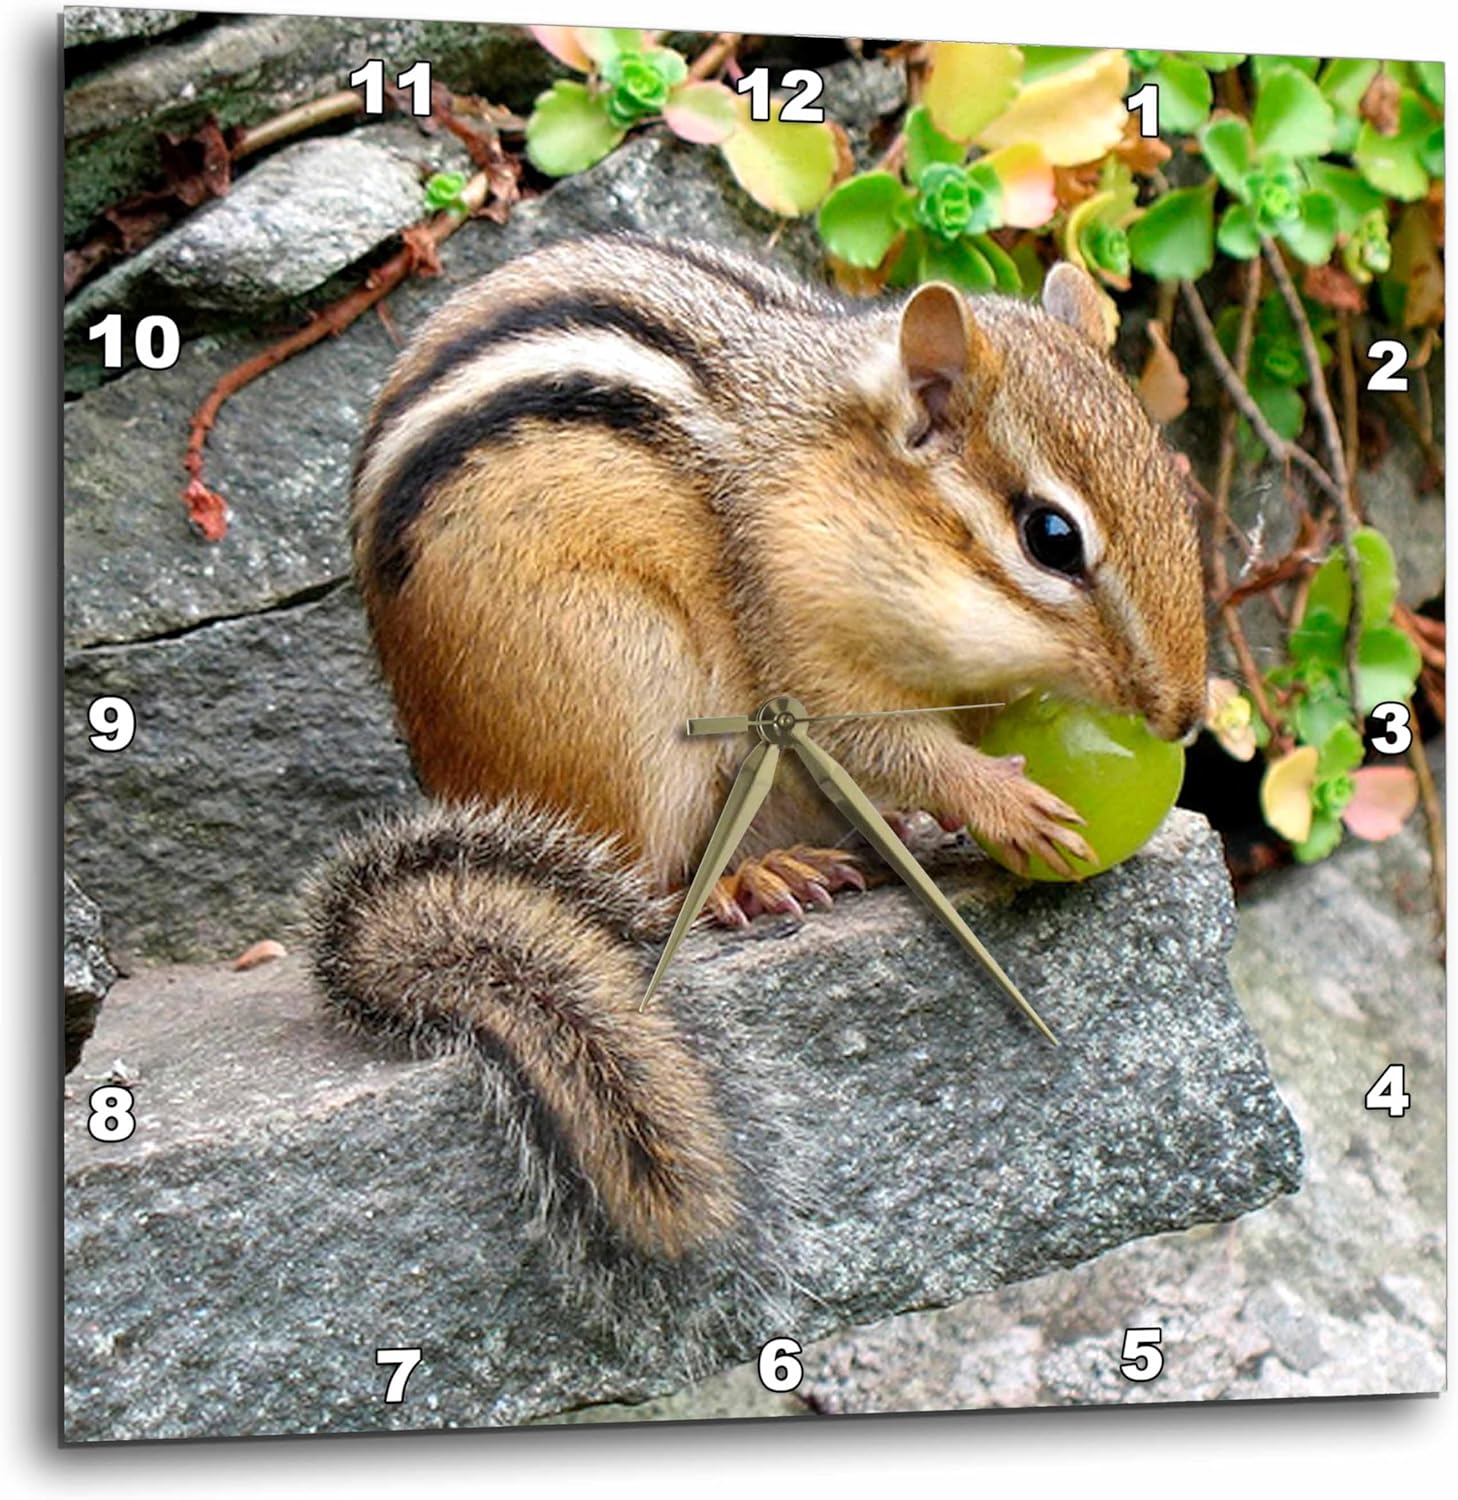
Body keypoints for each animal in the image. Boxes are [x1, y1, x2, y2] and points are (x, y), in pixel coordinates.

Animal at [310, 233, 1208, 1276]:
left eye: (1174, 480)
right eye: (1052, 538)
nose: (1185, 713)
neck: (831, 478)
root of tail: (443, 775)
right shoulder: (800, 643)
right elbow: (879, 742)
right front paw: (1000, 802)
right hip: (619, 680)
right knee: (644, 877)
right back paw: (749, 879)